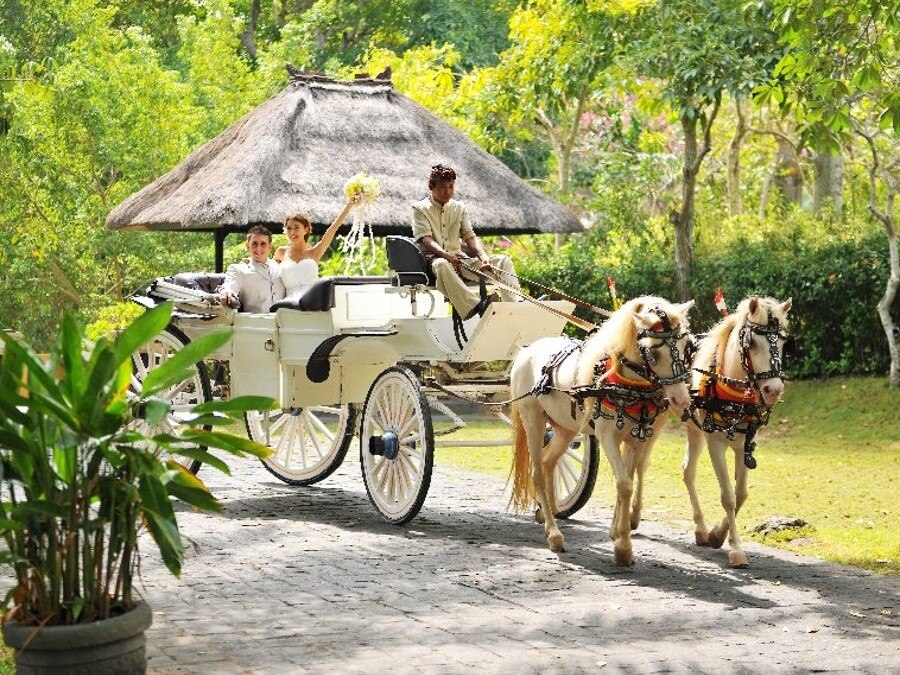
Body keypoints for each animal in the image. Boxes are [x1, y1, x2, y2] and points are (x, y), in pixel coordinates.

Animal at [510, 298, 692, 564]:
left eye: (687, 345)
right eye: (654, 352)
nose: (681, 399)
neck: (627, 384)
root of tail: (526, 351)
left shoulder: (638, 438)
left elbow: (629, 479)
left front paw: (618, 533)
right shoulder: (608, 437)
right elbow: (624, 484)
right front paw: (624, 546)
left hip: (565, 428)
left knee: (548, 463)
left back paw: (549, 511)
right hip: (532, 419)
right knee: (537, 473)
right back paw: (554, 534)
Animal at [684, 298, 796, 568]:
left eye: (783, 342)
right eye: (751, 343)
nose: (774, 390)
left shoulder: (745, 443)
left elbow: (741, 494)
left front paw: (717, 534)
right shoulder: (715, 442)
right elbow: (728, 496)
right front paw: (735, 549)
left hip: (693, 428)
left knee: (688, 471)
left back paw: (701, 529)